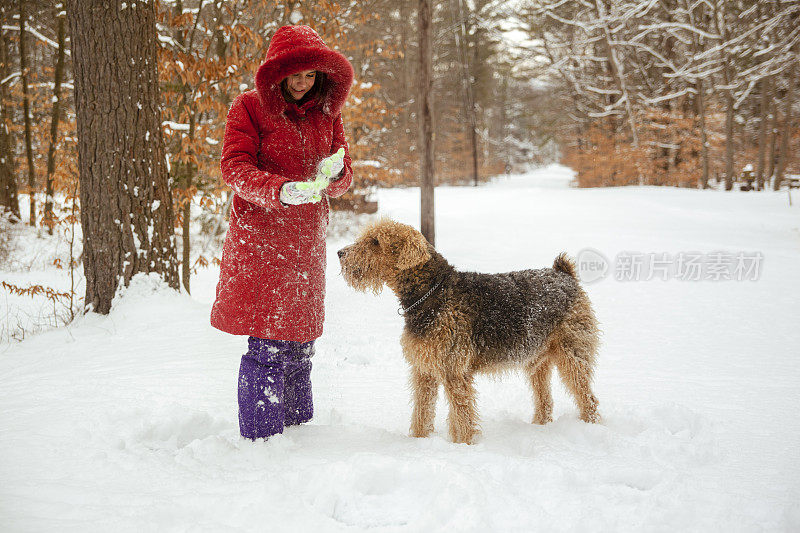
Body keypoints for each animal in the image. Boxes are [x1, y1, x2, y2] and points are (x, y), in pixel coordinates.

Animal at [340, 218, 600, 442]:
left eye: (375, 241)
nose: (340, 253)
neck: (433, 292)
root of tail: (564, 274)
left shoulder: (454, 371)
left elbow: (462, 415)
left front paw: (464, 445)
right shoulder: (424, 370)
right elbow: (422, 412)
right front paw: (418, 441)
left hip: (572, 356)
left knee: (589, 399)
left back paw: (591, 427)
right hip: (537, 361)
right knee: (545, 401)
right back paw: (539, 427)